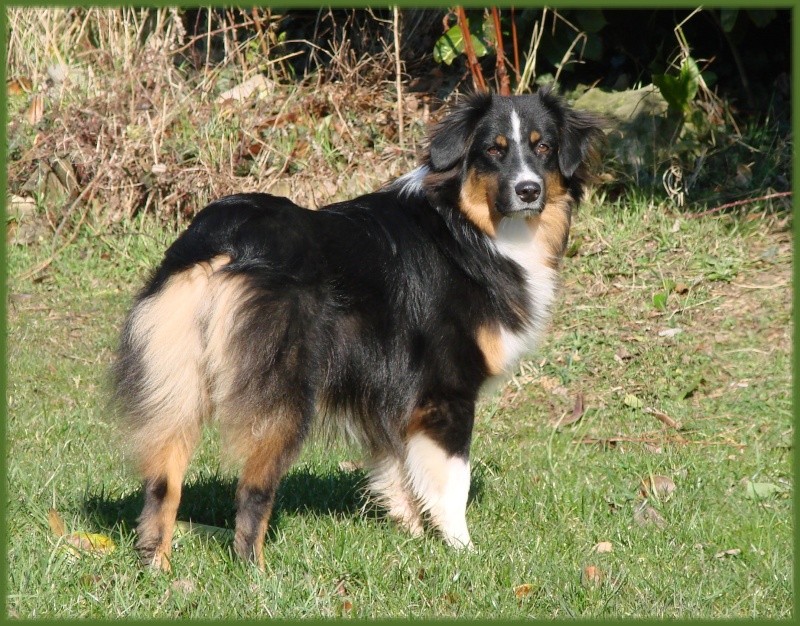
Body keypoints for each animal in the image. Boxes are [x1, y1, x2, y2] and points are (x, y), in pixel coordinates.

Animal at [111, 85, 600, 568]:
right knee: (252, 489)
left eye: (543, 147)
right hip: (283, 392)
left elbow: (400, 469)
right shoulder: (446, 392)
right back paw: (257, 571)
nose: (528, 190)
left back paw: (158, 568)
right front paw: (461, 550)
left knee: (162, 483)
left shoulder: (391, 391)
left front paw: (413, 536)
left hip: (176, 376)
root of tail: (225, 239)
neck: (465, 226)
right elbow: (452, 481)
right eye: (493, 151)